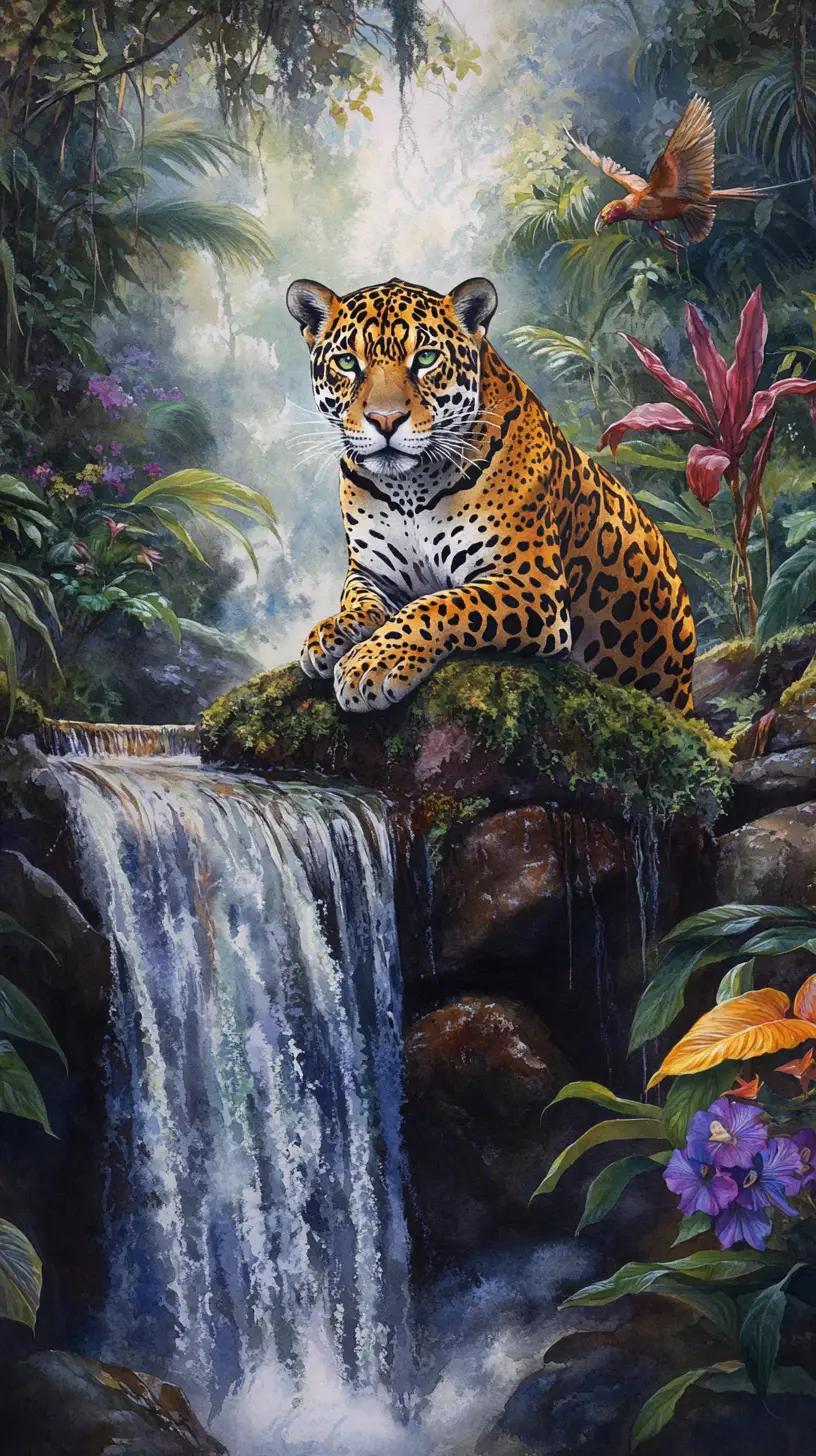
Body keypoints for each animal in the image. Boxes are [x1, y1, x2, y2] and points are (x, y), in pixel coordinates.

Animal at [286, 274, 696, 715]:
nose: (386, 420)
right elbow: (360, 599)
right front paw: (335, 631)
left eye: (426, 358)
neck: (409, 485)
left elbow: (439, 604)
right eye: (347, 363)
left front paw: (372, 663)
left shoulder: (531, 585)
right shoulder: (372, 571)